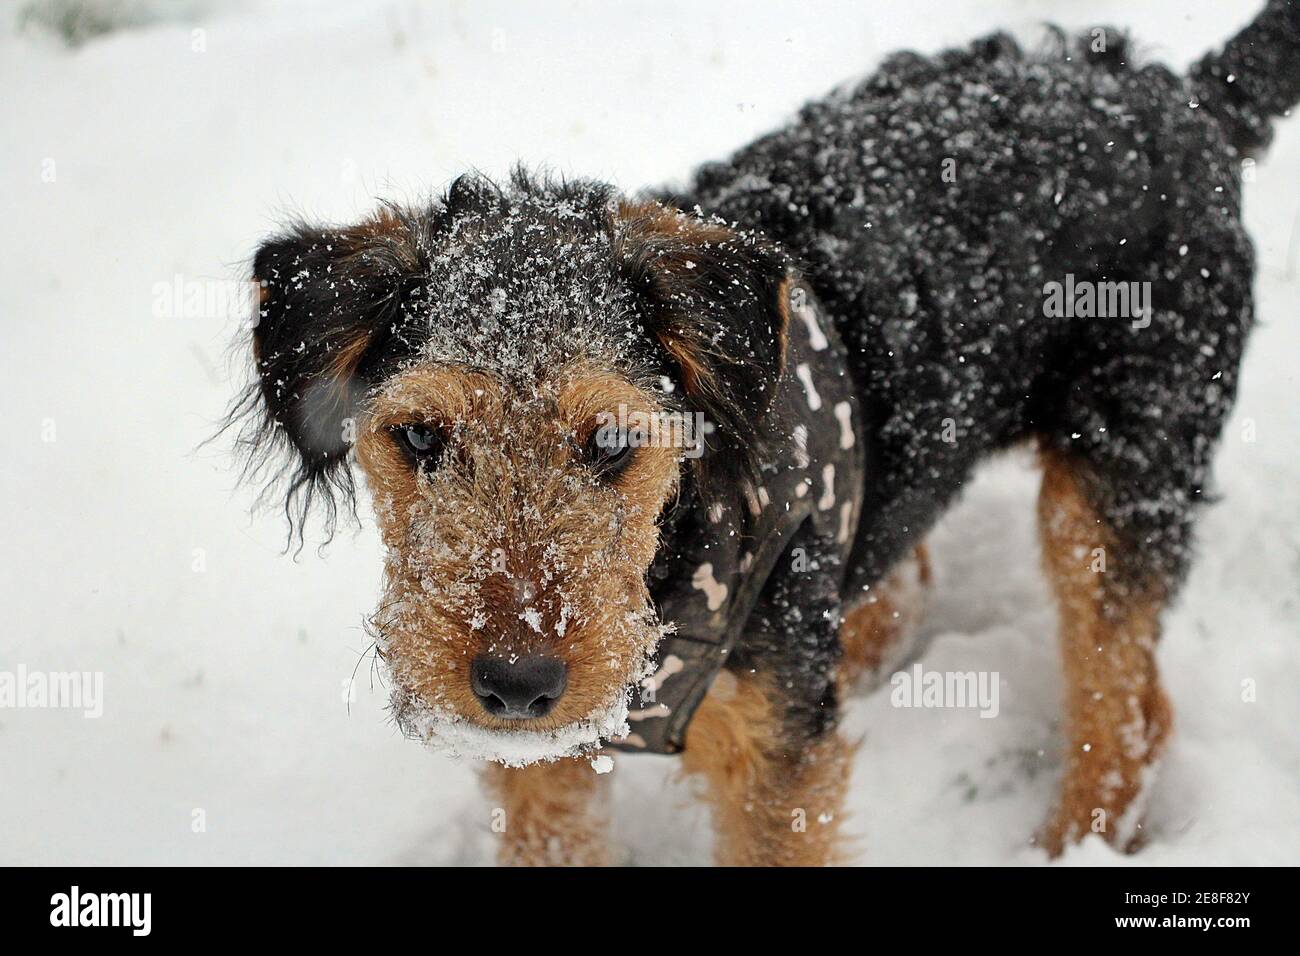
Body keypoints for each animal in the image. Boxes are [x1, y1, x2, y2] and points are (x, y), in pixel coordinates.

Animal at [233, 1, 1300, 868]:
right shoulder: (543, 767)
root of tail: (1181, 98)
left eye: (611, 443)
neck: (670, 566)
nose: (515, 683)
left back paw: (1069, 838)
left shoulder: (772, 775)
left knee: (1129, 712)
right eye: (419, 437)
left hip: (1119, 478)